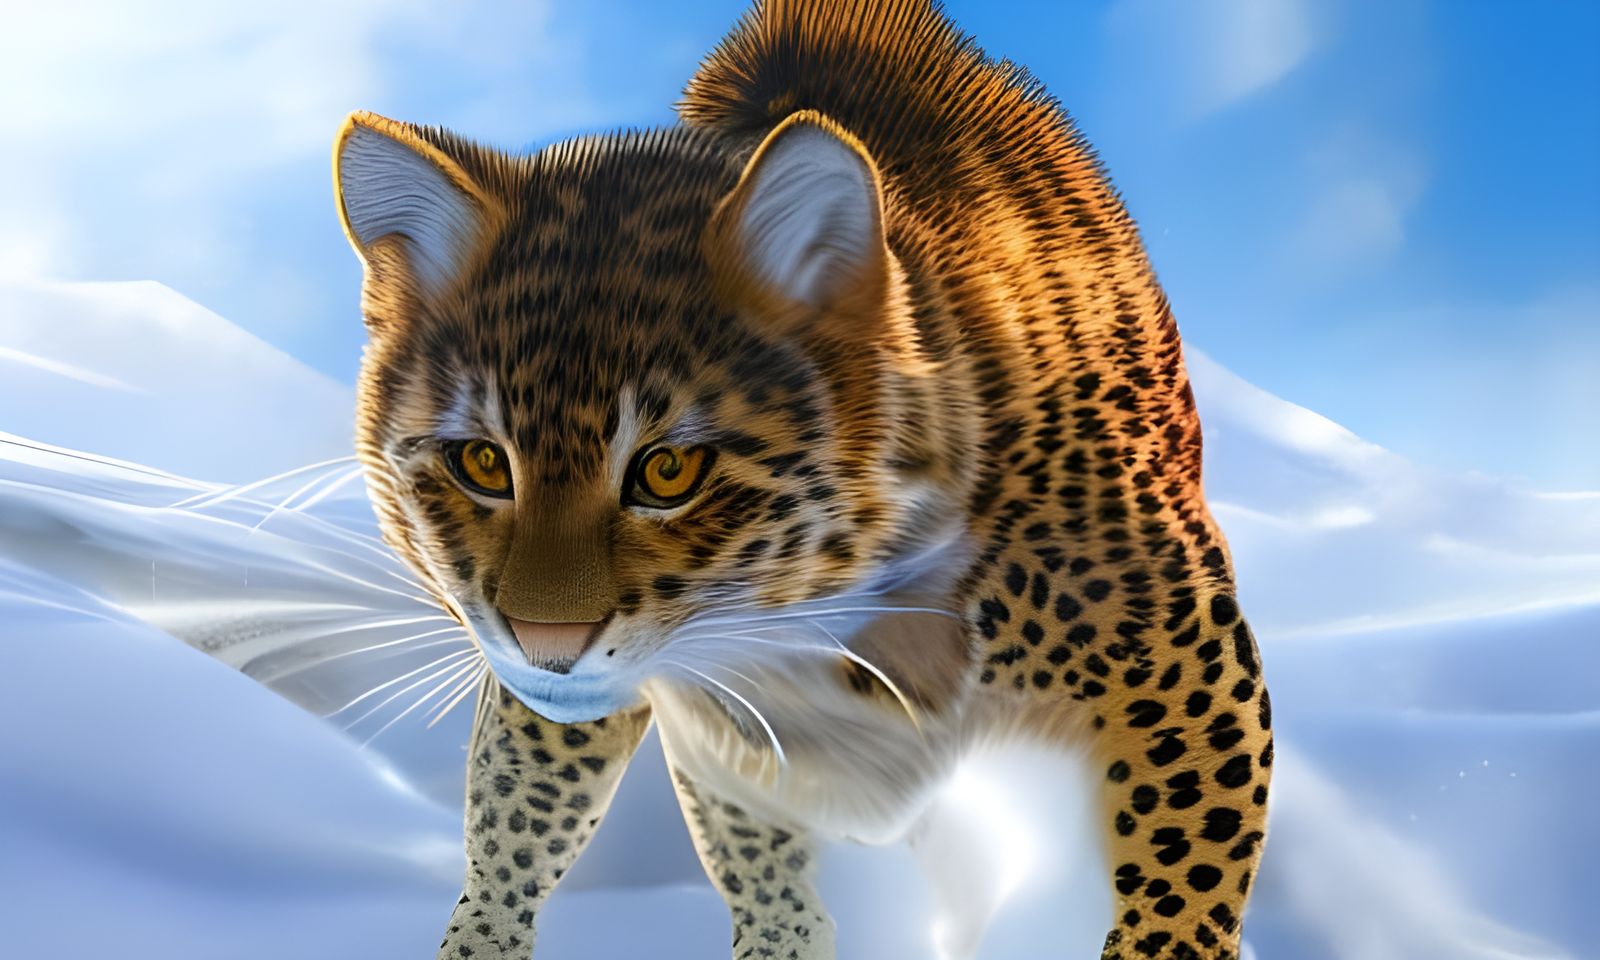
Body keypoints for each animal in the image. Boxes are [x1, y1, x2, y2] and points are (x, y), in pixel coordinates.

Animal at [330, 1, 1272, 957]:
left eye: (668, 471)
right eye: (482, 463)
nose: (543, 644)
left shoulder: (1182, 651)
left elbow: (1183, 868)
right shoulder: (691, 733)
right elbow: (555, 818)